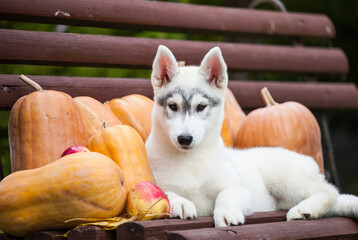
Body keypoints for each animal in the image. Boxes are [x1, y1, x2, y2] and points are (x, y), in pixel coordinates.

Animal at [144, 45, 356, 227]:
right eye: (173, 106)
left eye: (201, 107)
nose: (185, 139)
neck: (190, 161)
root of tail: (308, 161)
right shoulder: (154, 182)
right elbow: (165, 193)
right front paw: (180, 203)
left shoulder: (238, 187)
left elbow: (227, 195)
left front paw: (227, 213)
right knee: (338, 198)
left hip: (285, 177)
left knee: (329, 191)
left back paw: (305, 209)